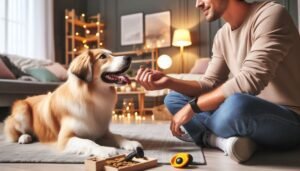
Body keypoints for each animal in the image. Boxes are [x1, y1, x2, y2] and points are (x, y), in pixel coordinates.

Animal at [3, 48, 142, 157]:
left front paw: (130, 143)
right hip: (23, 111)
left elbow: (118, 136)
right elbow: (88, 142)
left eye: (112, 54)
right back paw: (25, 137)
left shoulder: (101, 131)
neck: (91, 97)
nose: (129, 58)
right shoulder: (65, 138)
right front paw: (104, 149)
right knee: (16, 133)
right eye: (103, 57)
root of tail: (27, 98)